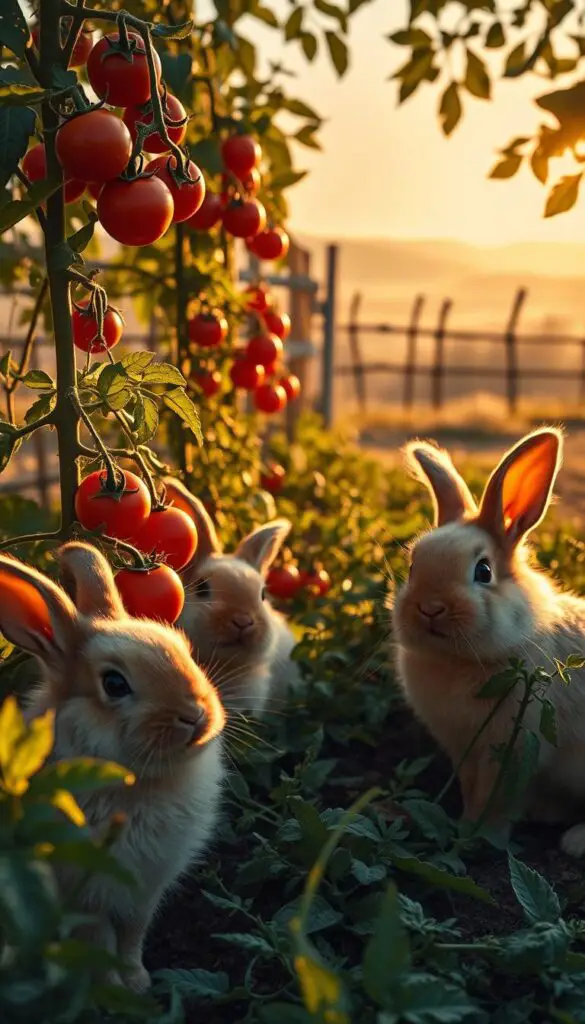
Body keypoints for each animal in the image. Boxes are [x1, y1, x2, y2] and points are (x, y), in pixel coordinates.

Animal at [0, 541, 226, 992]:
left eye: (183, 650)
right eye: (115, 684)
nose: (195, 716)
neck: (139, 782)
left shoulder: (144, 893)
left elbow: (133, 935)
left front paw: (138, 980)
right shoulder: (85, 892)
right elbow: (99, 941)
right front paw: (112, 990)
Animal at [391, 427, 585, 857]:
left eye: (483, 571)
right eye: (413, 567)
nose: (430, 608)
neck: (457, 660)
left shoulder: (514, 749)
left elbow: (496, 799)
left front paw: (482, 837)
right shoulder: (463, 747)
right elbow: (471, 789)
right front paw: (465, 825)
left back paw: (574, 842)